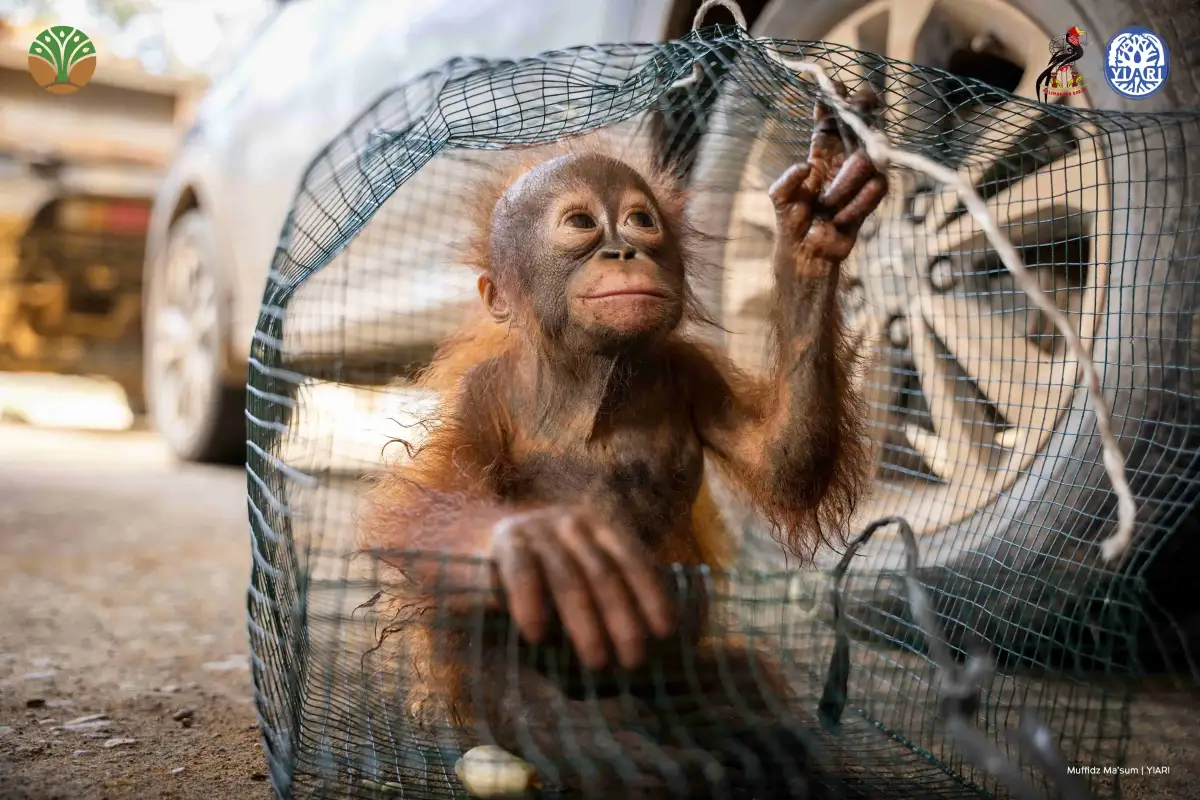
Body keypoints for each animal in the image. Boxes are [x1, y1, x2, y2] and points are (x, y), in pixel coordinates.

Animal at [357, 84, 888, 797]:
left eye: (639, 221)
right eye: (581, 225)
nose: (622, 252)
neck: (597, 382)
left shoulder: (692, 372)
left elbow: (785, 465)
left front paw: (808, 243)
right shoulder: (481, 393)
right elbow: (425, 509)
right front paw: (531, 543)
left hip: (683, 676)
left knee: (737, 686)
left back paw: (757, 750)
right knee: (525, 680)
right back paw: (642, 757)